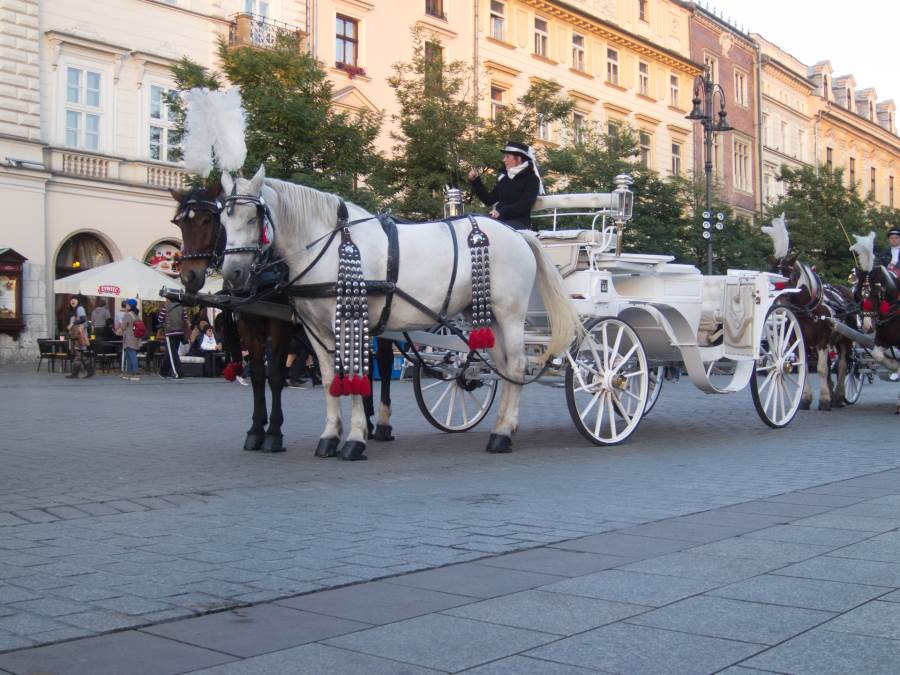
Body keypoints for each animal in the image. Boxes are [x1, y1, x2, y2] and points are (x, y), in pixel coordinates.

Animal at [172, 184, 398, 454]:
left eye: (208, 220)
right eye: (179, 224)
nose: (189, 277)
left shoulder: (279, 328)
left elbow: (276, 376)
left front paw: (273, 433)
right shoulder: (249, 328)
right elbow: (259, 376)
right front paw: (255, 431)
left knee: (383, 365)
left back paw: (382, 423)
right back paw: (368, 422)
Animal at [221, 166, 580, 460]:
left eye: (252, 218)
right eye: (224, 220)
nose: (232, 274)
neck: (332, 246)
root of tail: (518, 233)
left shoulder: (351, 322)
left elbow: (356, 377)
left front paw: (355, 439)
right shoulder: (316, 329)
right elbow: (330, 380)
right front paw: (330, 436)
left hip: (510, 315)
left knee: (517, 366)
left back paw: (503, 434)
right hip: (485, 317)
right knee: (504, 368)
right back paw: (503, 427)